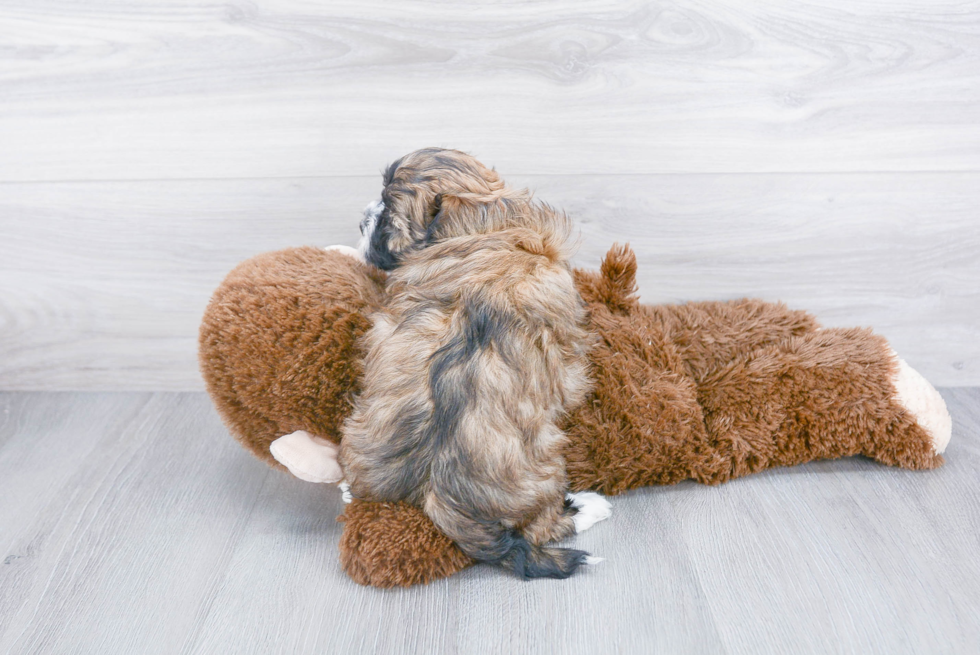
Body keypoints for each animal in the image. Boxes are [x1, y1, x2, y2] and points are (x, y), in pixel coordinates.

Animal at [340, 149, 608, 580]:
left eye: (385, 222)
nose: (362, 220)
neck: (482, 225)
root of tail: (438, 497)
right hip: (547, 468)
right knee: (543, 527)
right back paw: (587, 506)